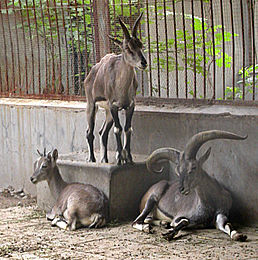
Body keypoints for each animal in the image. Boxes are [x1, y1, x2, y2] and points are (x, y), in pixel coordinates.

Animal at [84, 12, 146, 165]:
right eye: (127, 48)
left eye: (140, 45)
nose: (143, 63)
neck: (121, 88)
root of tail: (91, 72)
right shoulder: (114, 106)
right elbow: (118, 129)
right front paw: (119, 159)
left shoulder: (130, 105)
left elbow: (128, 129)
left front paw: (128, 158)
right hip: (91, 105)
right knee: (90, 132)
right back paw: (92, 159)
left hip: (108, 112)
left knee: (103, 132)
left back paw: (105, 159)